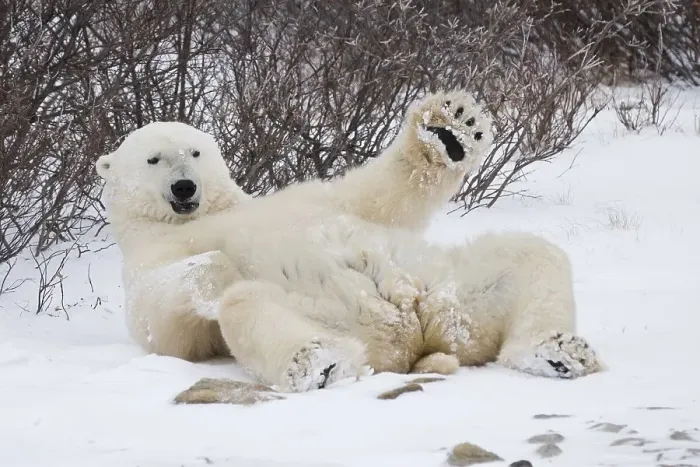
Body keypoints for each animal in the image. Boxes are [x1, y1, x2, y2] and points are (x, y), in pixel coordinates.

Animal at [96, 90, 602, 393]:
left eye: (196, 152)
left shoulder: (307, 198)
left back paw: (558, 351)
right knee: (247, 305)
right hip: (330, 315)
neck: (202, 216)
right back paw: (318, 364)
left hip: (453, 293)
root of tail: (416, 340)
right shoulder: (146, 259)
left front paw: (450, 130)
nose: (185, 187)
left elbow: (379, 197)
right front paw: (214, 268)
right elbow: (166, 324)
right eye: (153, 159)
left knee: (530, 255)